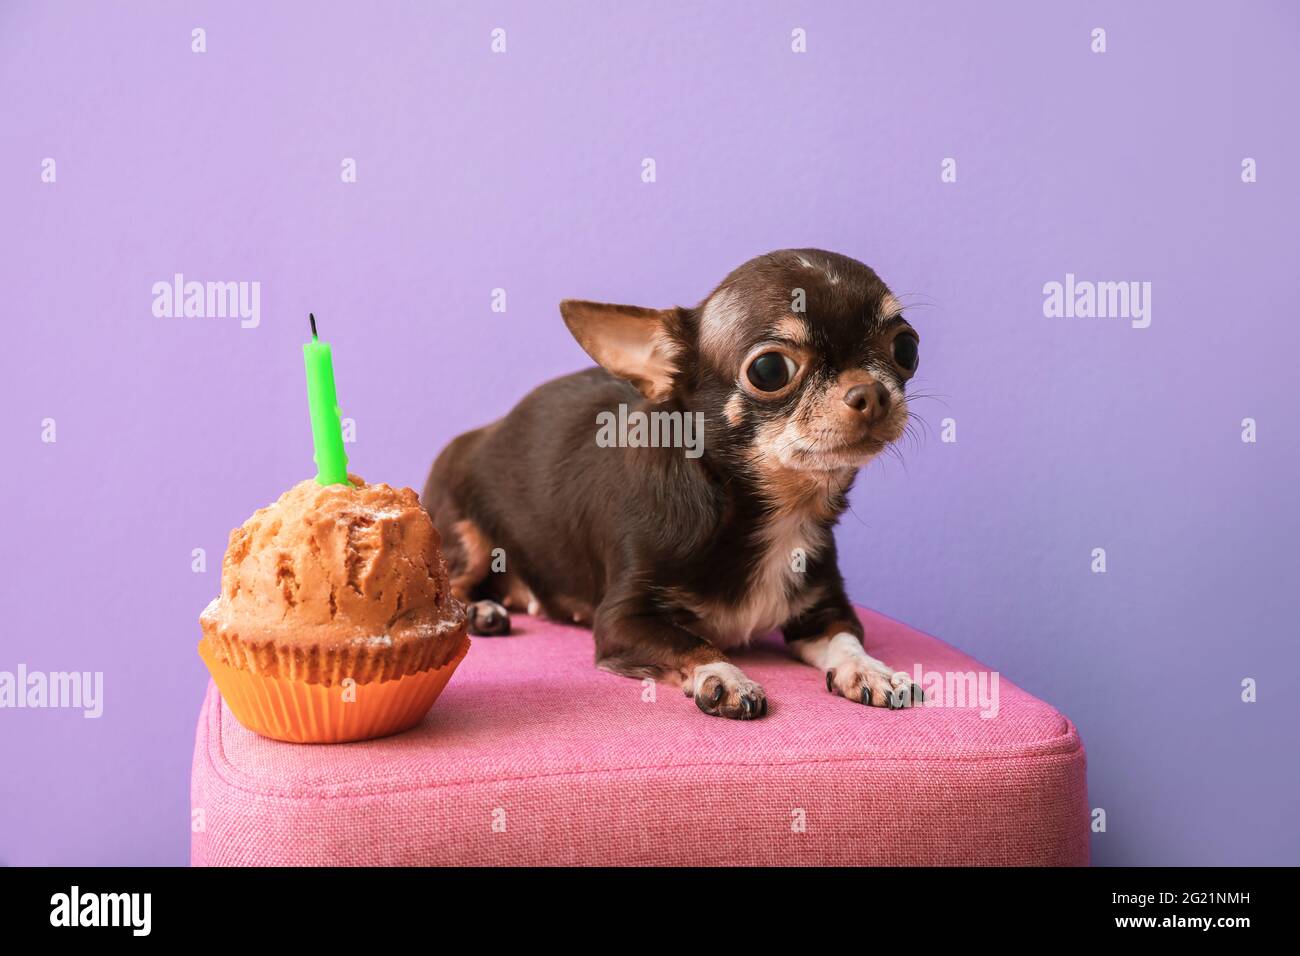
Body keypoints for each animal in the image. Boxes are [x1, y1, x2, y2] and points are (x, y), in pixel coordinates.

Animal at [421, 251, 920, 723]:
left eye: (907, 347)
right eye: (769, 370)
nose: (872, 392)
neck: (773, 512)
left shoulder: (826, 610)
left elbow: (846, 639)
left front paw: (870, 669)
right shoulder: (622, 620)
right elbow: (691, 642)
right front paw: (723, 675)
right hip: (466, 540)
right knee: (452, 588)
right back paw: (480, 611)